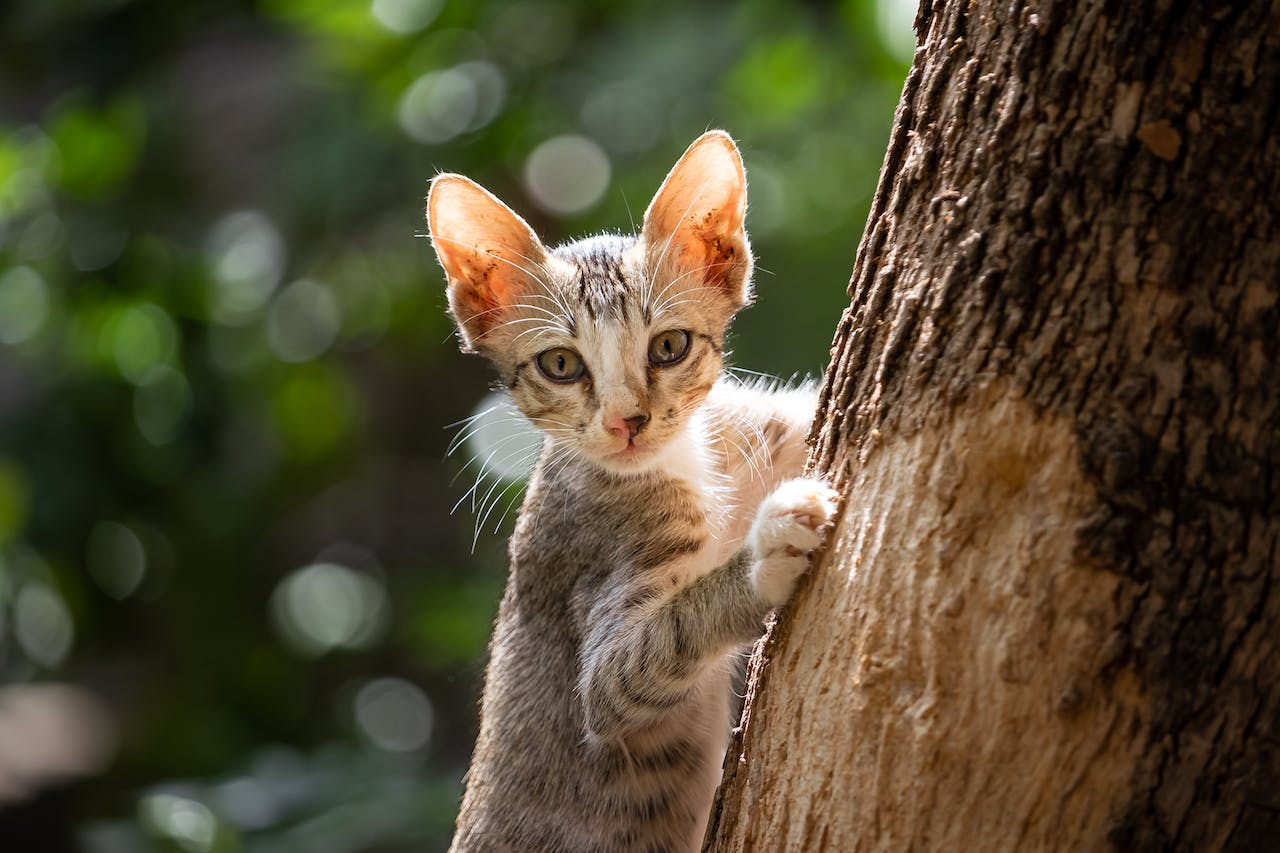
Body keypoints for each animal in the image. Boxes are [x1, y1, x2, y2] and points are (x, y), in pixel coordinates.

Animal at [430, 129, 839, 845]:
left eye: (669, 346)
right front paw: (767, 554)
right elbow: (653, 647)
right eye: (560, 364)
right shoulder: (596, 612)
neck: (690, 463)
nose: (629, 421)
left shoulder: (749, 427)